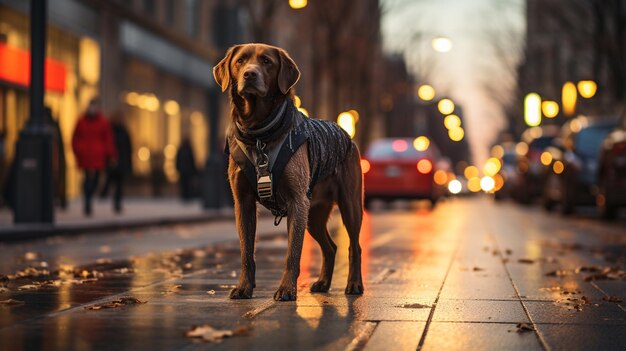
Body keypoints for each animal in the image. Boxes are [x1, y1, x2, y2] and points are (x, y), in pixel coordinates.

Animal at [212, 43, 364, 302]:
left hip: (349, 204)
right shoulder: (243, 202)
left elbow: (293, 252)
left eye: (266, 61)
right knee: (330, 247)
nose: (249, 74)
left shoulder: (296, 201)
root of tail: (346, 135)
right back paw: (323, 283)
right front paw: (244, 287)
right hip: (314, 214)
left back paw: (354, 284)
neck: (259, 132)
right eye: (240, 61)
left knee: (354, 246)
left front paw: (286, 290)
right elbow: (246, 251)